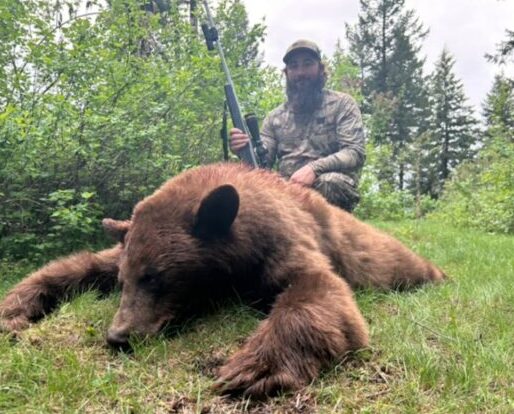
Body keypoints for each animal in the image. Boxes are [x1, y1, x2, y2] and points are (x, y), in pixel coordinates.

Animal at [0, 163, 442, 400]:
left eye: (156, 278)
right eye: (128, 280)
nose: (119, 336)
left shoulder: (284, 243)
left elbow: (319, 289)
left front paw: (255, 368)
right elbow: (83, 264)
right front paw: (14, 309)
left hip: (383, 255)